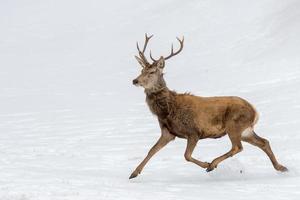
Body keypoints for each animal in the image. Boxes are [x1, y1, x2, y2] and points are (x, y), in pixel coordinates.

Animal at [129, 33, 288, 179]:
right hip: (246, 130)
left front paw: (206, 164)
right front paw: (134, 173)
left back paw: (213, 164)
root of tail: (255, 111)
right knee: (264, 142)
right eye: (141, 70)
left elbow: (186, 155)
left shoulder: (193, 131)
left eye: (152, 72)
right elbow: (151, 150)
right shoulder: (167, 132)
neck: (167, 111)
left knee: (237, 146)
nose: (135, 80)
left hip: (234, 124)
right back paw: (281, 167)